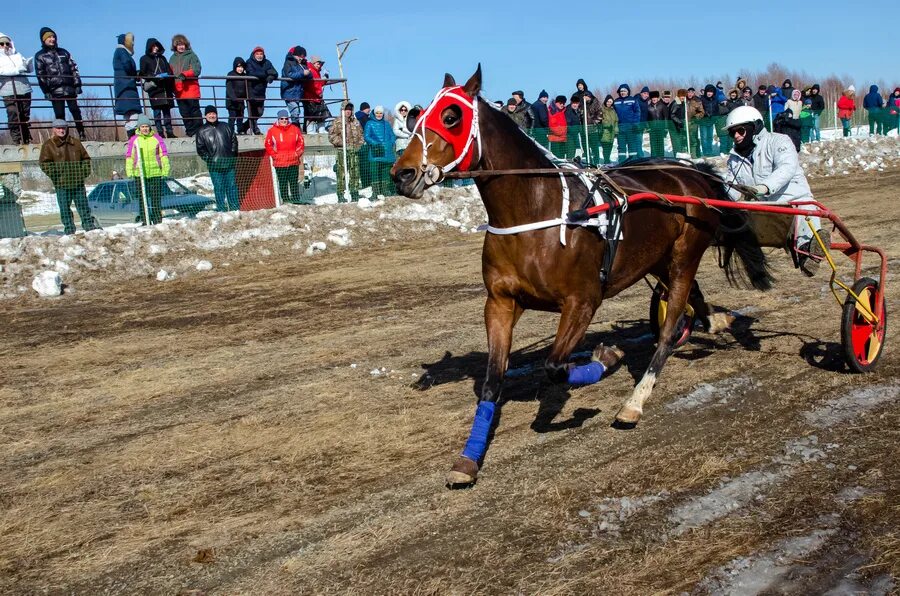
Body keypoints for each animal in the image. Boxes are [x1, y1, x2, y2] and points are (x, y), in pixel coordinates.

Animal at [390, 65, 768, 486]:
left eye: (451, 116)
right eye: (415, 117)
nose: (402, 174)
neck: (536, 211)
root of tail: (690, 170)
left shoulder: (582, 301)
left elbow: (555, 367)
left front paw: (607, 357)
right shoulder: (501, 303)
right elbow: (491, 381)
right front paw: (467, 460)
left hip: (685, 255)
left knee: (670, 326)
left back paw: (635, 401)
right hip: (659, 258)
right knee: (686, 299)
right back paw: (715, 320)